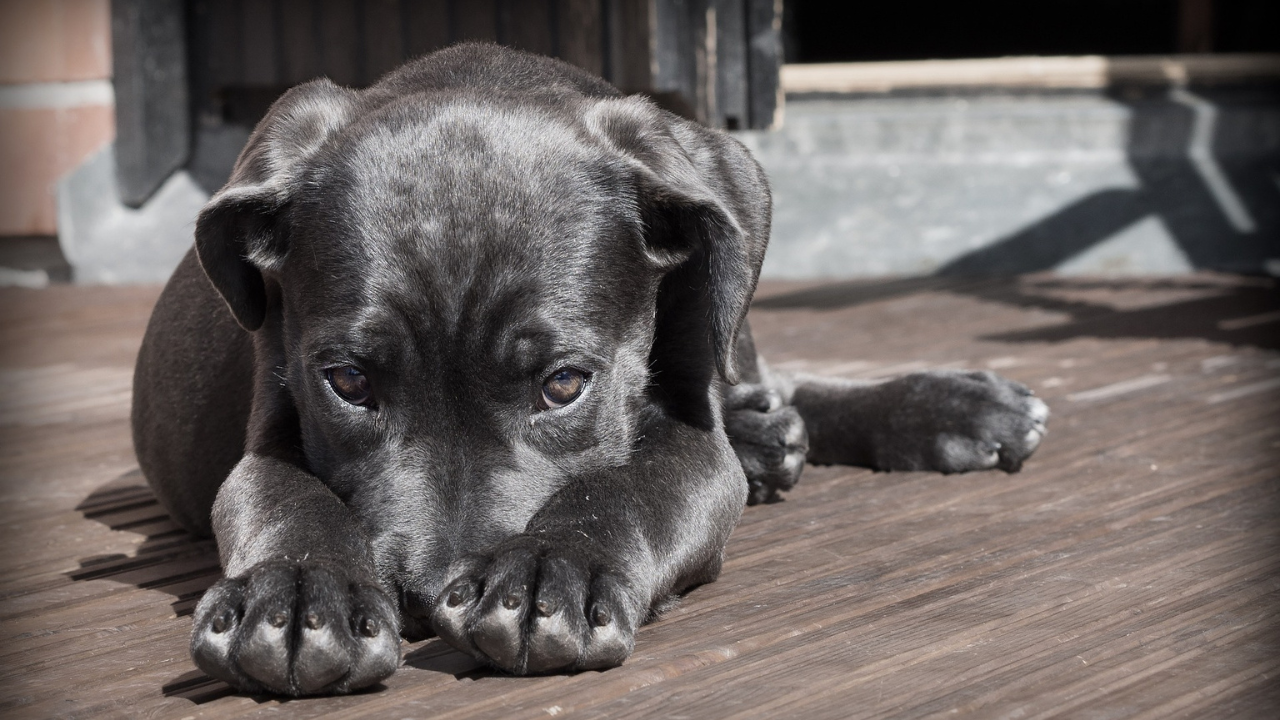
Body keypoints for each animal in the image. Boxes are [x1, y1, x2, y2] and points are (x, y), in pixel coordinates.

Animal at [132, 41, 1049, 691]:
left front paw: (551, 570)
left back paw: (947, 409)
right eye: (348, 383)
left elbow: (628, 485)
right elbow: (284, 496)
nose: (426, 598)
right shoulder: (271, 420)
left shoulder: (690, 438)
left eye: (564, 384)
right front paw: (295, 594)